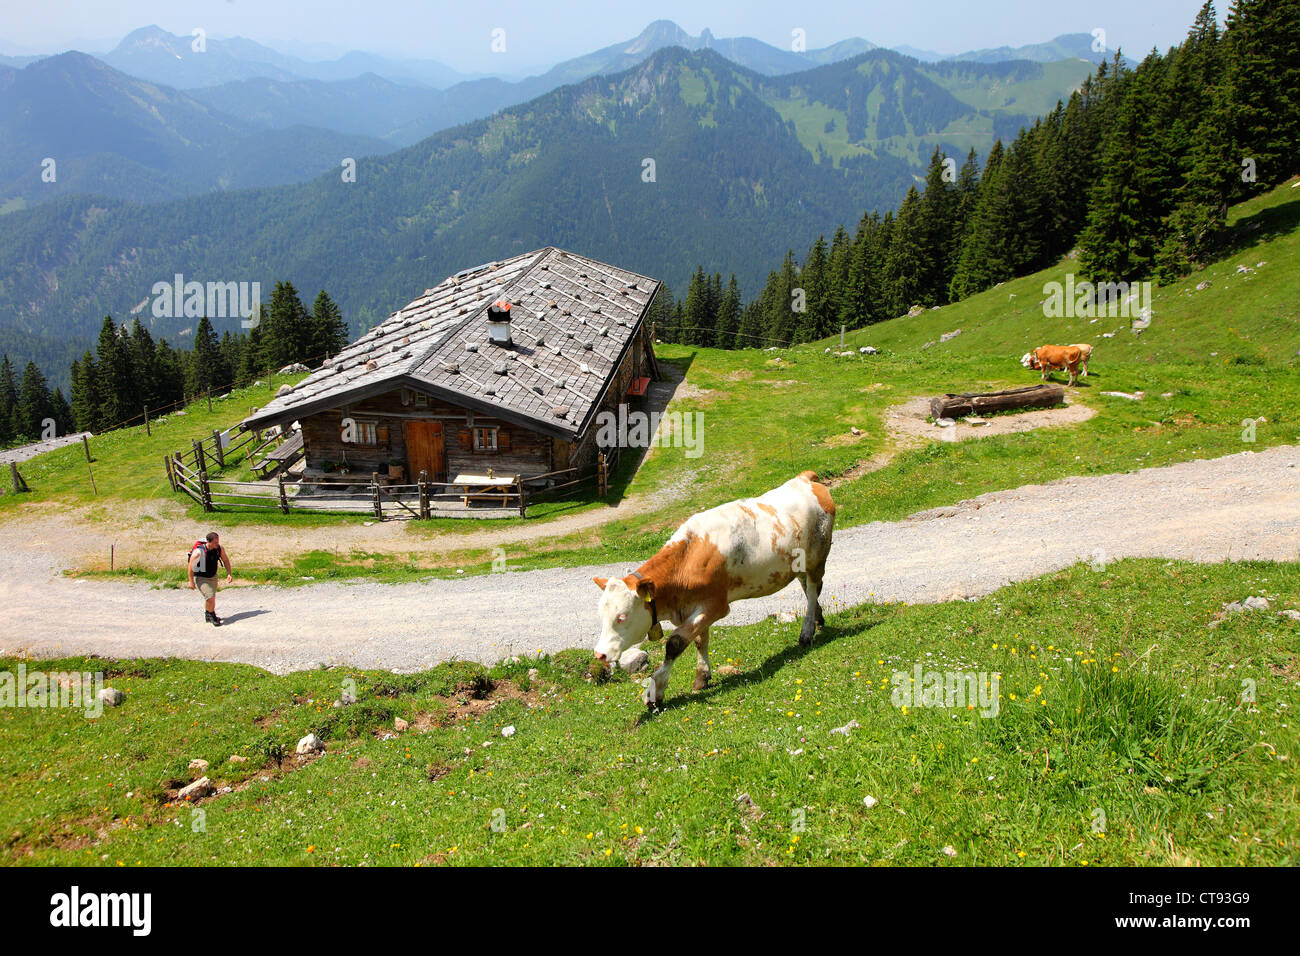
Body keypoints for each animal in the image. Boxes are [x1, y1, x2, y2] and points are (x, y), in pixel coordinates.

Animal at [595, 473, 837, 707]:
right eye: (602, 616)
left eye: (621, 617)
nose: (599, 654)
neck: (687, 560)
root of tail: (804, 478)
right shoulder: (694, 607)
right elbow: (699, 640)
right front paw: (702, 676)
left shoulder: (716, 605)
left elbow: (675, 643)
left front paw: (655, 691)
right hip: (799, 564)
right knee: (808, 587)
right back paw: (818, 619)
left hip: (818, 555)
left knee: (812, 590)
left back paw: (807, 631)